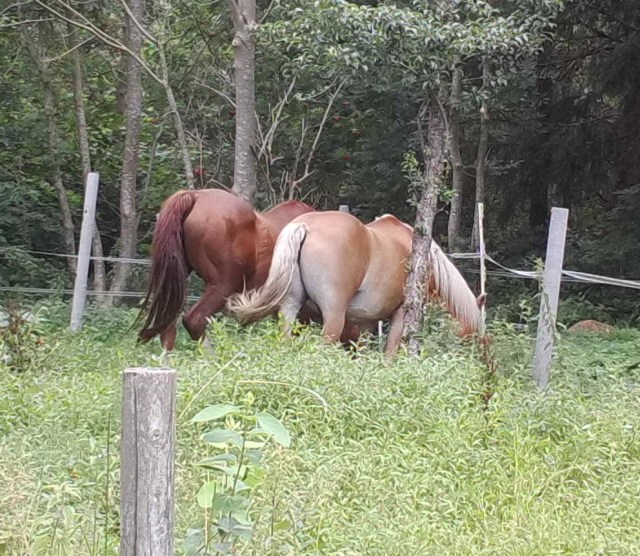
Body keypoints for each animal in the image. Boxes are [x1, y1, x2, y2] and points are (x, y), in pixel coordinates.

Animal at [226, 211, 485, 356]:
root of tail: (305, 226)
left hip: (290, 307)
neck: (426, 264)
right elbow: (389, 355)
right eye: (477, 339)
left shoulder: (367, 322)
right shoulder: (401, 315)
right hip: (333, 317)